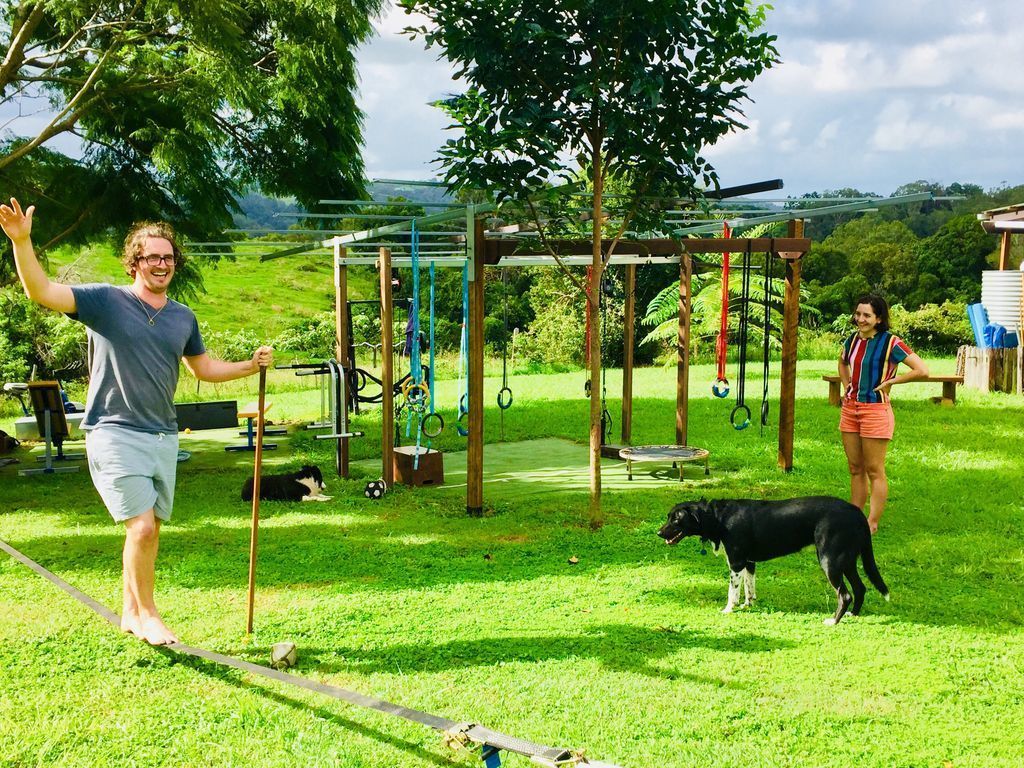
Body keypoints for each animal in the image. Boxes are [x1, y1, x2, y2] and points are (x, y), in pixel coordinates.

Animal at [655, 495, 888, 626]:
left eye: (676, 519)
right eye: (668, 516)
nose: (659, 533)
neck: (718, 518)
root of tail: (855, 511)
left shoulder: (736, 562)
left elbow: (732, 591)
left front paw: (728, 610)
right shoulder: (748, 562)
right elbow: (749, 588)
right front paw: (748, 605)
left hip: (830, 561)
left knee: (845, 594)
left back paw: (833, 621)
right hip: (846, 561)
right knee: (860, 588)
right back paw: (853, 615)